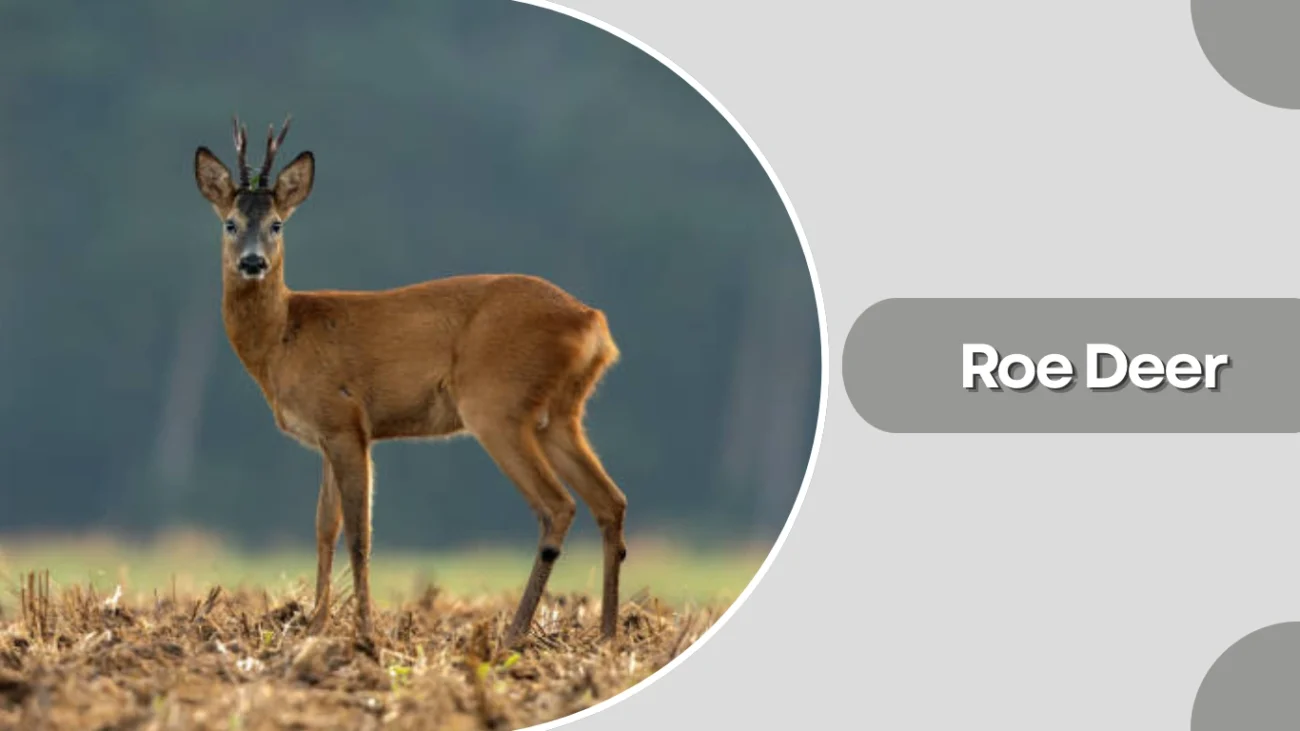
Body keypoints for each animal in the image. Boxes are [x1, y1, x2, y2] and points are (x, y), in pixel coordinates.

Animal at [192, 116, 628, 650]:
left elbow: (359, 533)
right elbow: (324, 527)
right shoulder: (327, 435)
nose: (252, 262)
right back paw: (607, 635)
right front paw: (314, 627)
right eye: (230, 223)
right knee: (610, 501)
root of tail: (593, 323)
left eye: (276, 224)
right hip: (559, 415)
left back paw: (514, 634)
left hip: (496, 405)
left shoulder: (345, 421)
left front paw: (364, 631)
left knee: (558, 505)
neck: (282, 337)